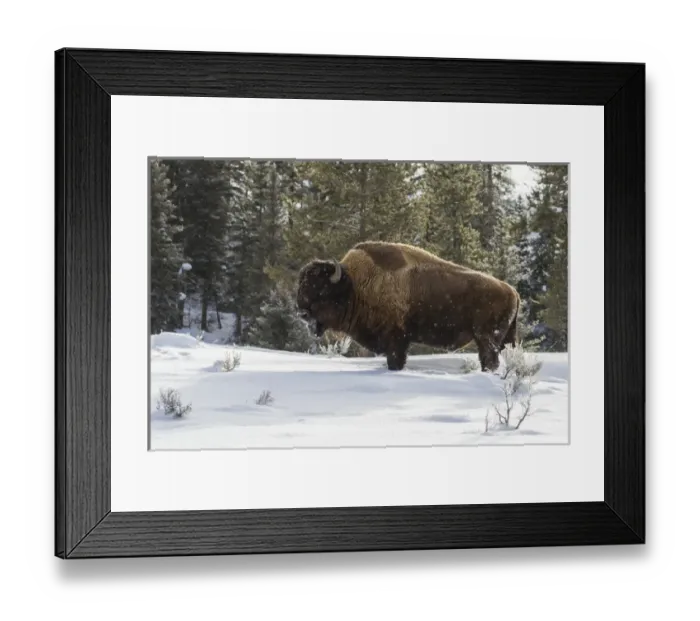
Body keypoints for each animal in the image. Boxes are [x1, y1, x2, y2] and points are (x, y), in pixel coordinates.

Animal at [296, 241, 521, 372]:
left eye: (321, 291)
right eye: (302, 286)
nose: (302, 313)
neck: (354, 285)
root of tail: (512, 291)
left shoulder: (396, 339)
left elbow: (395, 361)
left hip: (486, 338)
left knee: (489, 360)